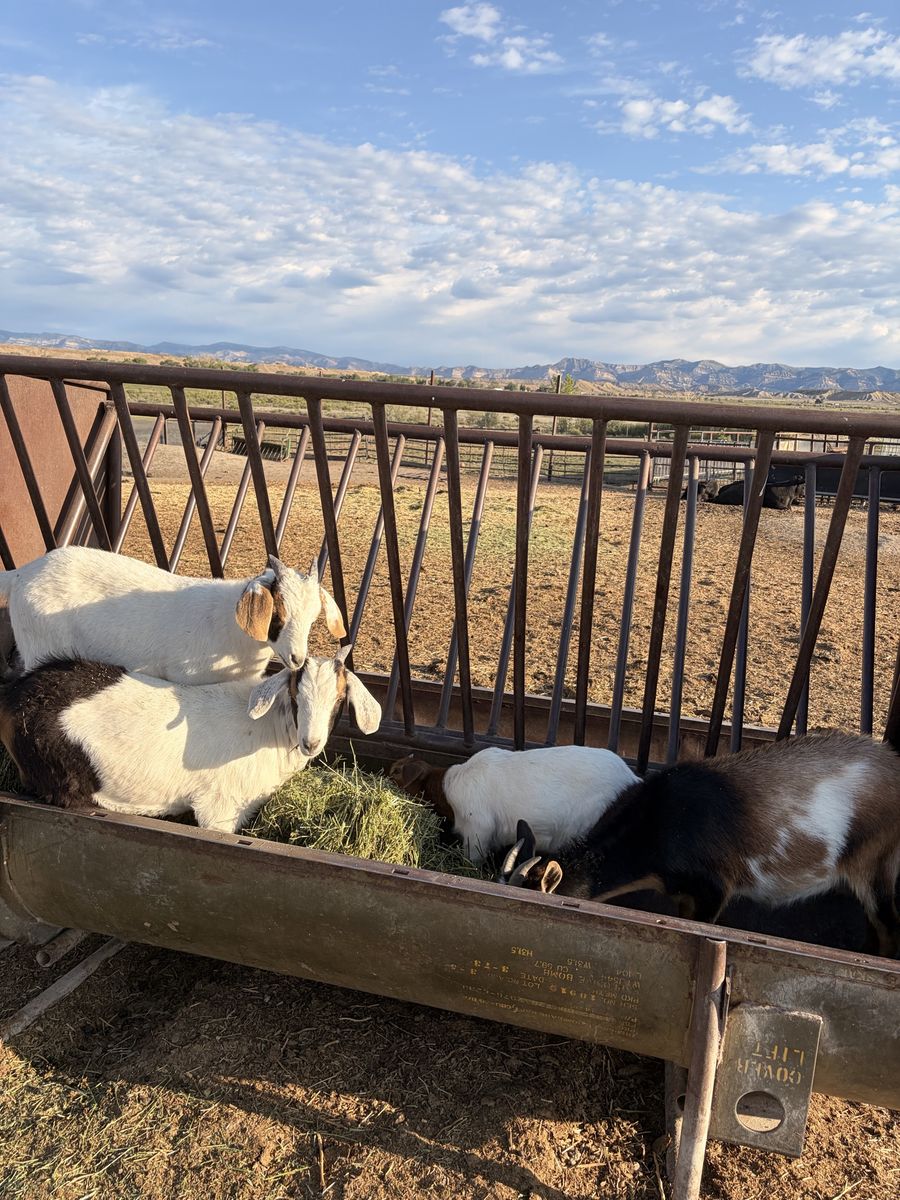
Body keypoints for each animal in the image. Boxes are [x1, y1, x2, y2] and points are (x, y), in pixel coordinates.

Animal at [0, 644, 381, 834]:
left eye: (339, 699)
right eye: (294, 695)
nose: (311, 743)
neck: (270, 729)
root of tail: (19, 695)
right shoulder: (220, 810)